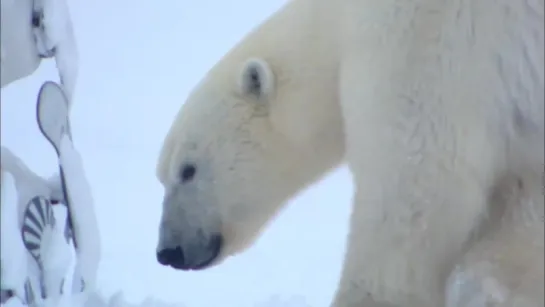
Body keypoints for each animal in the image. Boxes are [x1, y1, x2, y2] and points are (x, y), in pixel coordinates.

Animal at [155, 0, 540, 306]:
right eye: (161, 176)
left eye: (187, 170)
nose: (168, 252)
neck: (337, 22)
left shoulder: (425, 48)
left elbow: (415, 191)